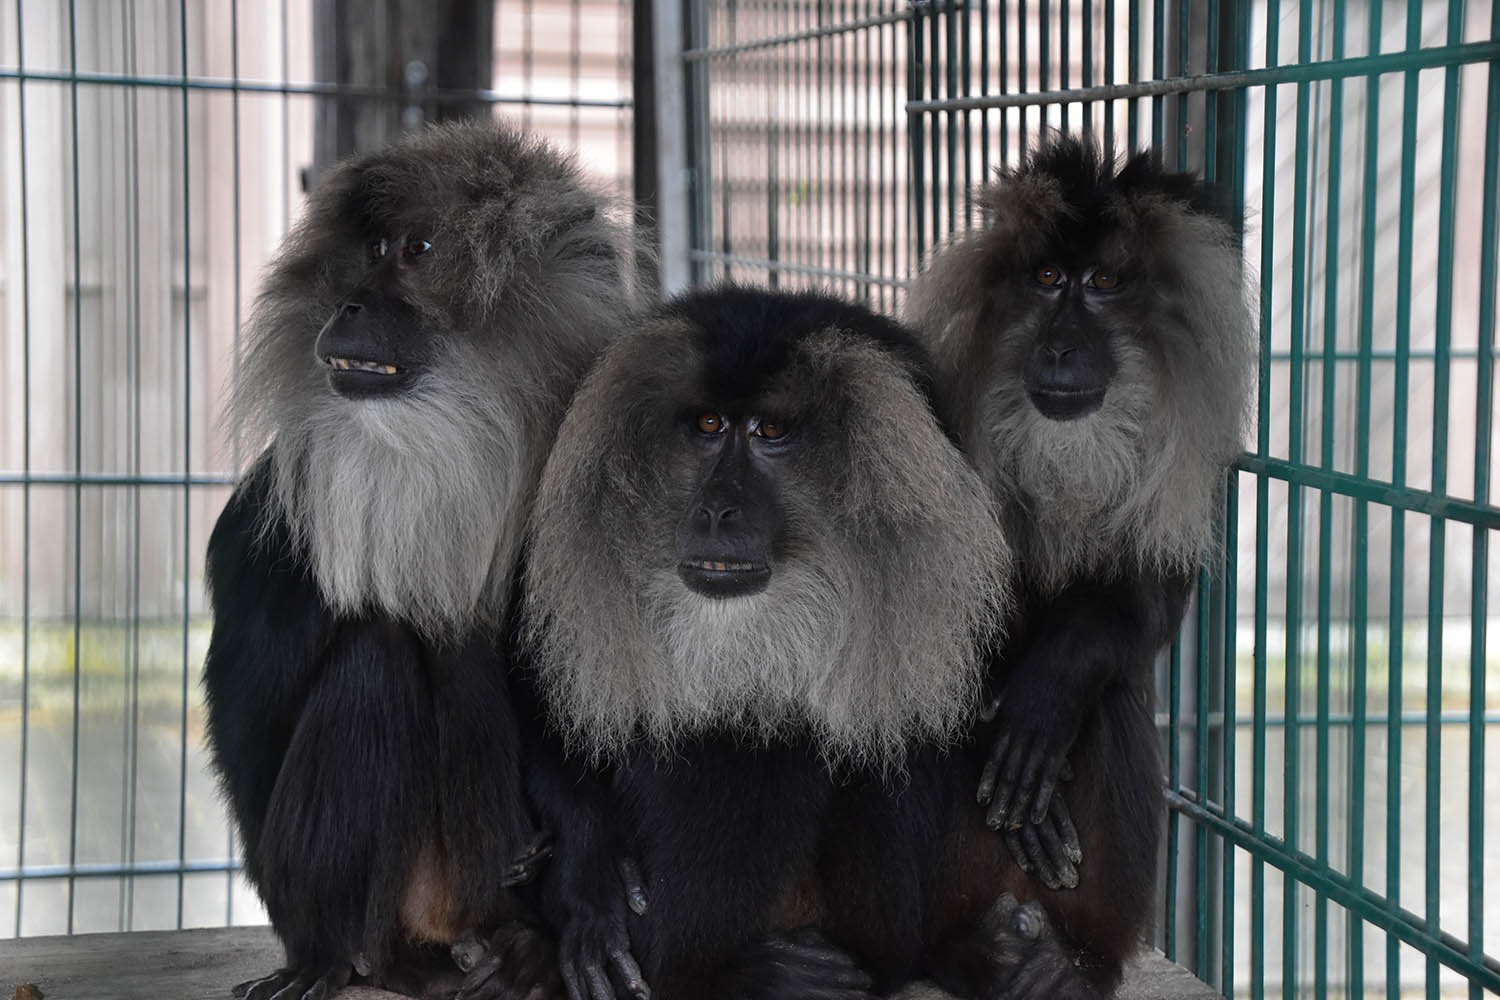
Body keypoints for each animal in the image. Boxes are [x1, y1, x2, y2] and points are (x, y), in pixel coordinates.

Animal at [202, 119, 635, 1000]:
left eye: (416, 249)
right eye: (368, 250)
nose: (350, 304)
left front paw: (593, 875)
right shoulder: (283, 502)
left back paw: (521, 949)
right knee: (378, 655)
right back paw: (344, 958)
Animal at [904, 134, 1256, 997]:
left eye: (1101, 283)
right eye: (1046, 280)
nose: (1060, 348)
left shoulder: (1187, 466)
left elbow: (1138, 616)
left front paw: (1046, 695)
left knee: (1115, 687)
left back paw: (1065, 969)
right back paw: (961, 954)